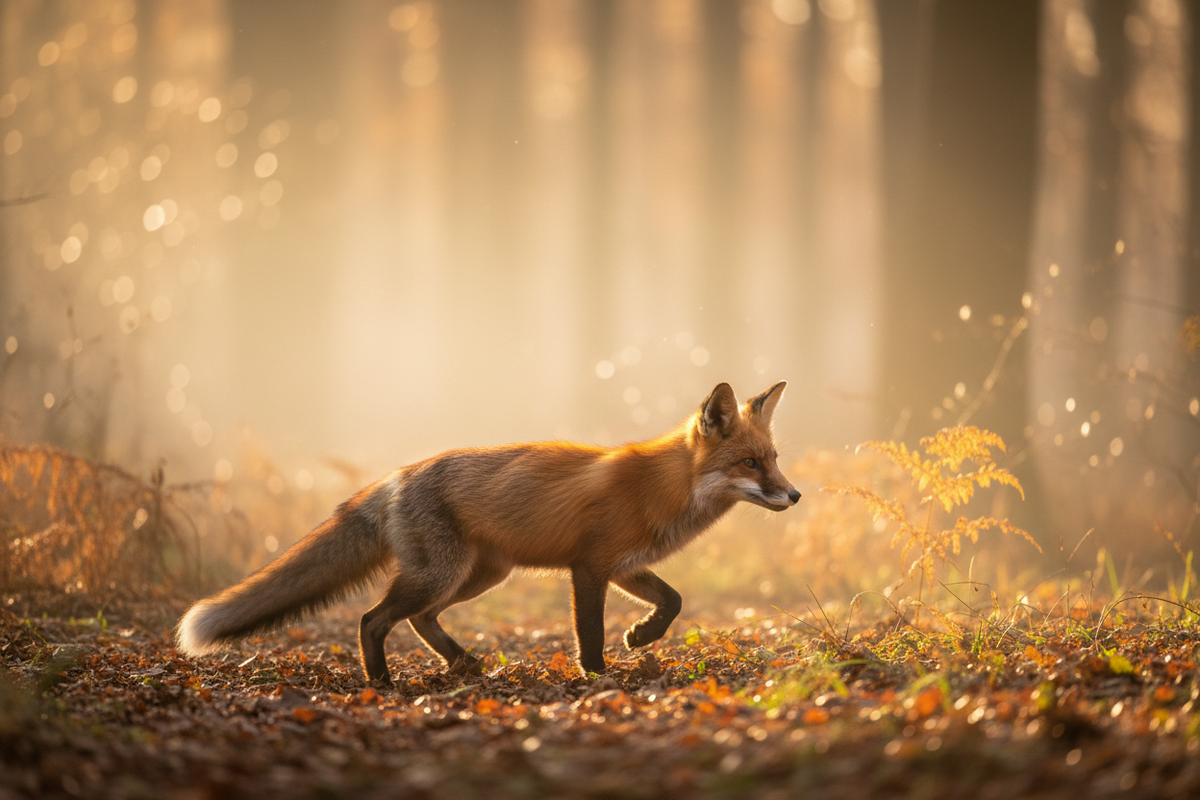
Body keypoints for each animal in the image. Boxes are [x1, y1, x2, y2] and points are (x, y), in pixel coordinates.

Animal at [176, 381, 800, 685]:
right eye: (749, 463)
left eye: (773, 459)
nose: (794, 496)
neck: (662, 488)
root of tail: (396, 475)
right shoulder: (590, 567)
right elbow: (590, 634)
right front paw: (599, 677)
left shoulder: (624, 565)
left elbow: (673, 600)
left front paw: (642, 636)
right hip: (442, 574)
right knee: (373, 619)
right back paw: (382, 682)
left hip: (479, 576)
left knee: (419, 620)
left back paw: (460, 664)